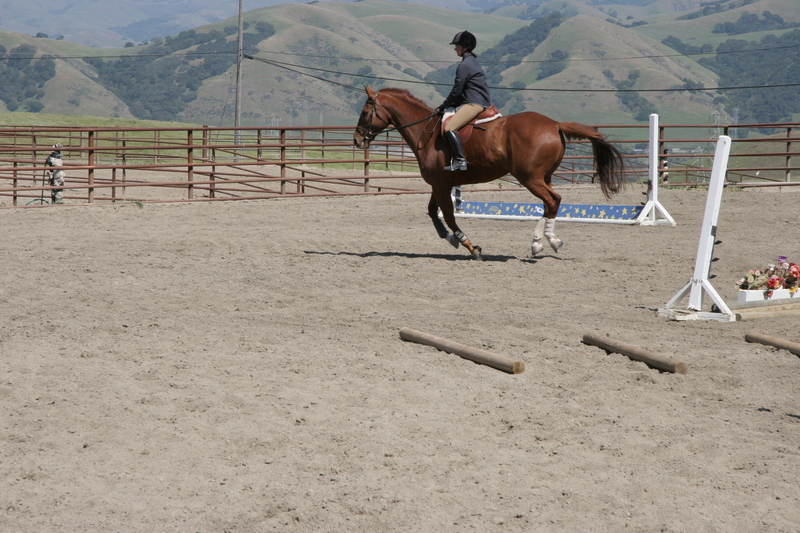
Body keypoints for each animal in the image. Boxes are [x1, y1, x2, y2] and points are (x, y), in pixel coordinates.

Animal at [353, 86, 627, 260]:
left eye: (365, 113)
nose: (356, 140)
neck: (426, 133)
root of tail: (555, 124)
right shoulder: (439, 184)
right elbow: (433, 213)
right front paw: (450, 239)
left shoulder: (440, 185)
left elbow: (449, 216)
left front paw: (470, 246)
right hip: (543, 177)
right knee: (551, 203)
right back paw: (546, 242)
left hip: (530, 178)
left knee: (552, 200)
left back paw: (542, 243)